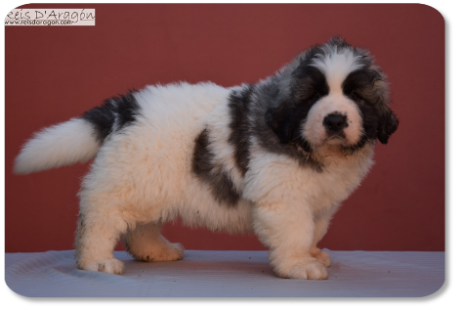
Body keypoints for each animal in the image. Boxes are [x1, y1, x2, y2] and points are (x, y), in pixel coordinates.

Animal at [12, 36, 398, 280]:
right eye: (313, 95)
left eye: (357, 96)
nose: (334, 120)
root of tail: (128, 105)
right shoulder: (282, 195)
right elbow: (296, 230)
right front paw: (298, 265)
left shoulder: (319, 200)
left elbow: (314, 228)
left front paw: (312, 253)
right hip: (131, 176)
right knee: (101, 217)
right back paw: (96, 261)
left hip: (150, 180)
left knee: (141, 224)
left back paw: (156, 250)